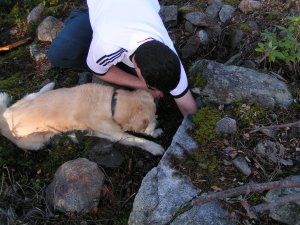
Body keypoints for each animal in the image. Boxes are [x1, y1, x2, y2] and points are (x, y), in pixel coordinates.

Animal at [0, 82, 164, 155]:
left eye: (157, 115)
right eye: (153, 118)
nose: (158, 121)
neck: (111, 104)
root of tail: (4, 118)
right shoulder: (117, 135)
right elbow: (139, 140)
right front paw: (155, 146)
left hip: (29, 99)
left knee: (33, 94)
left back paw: (48, 86)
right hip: (36, 143)